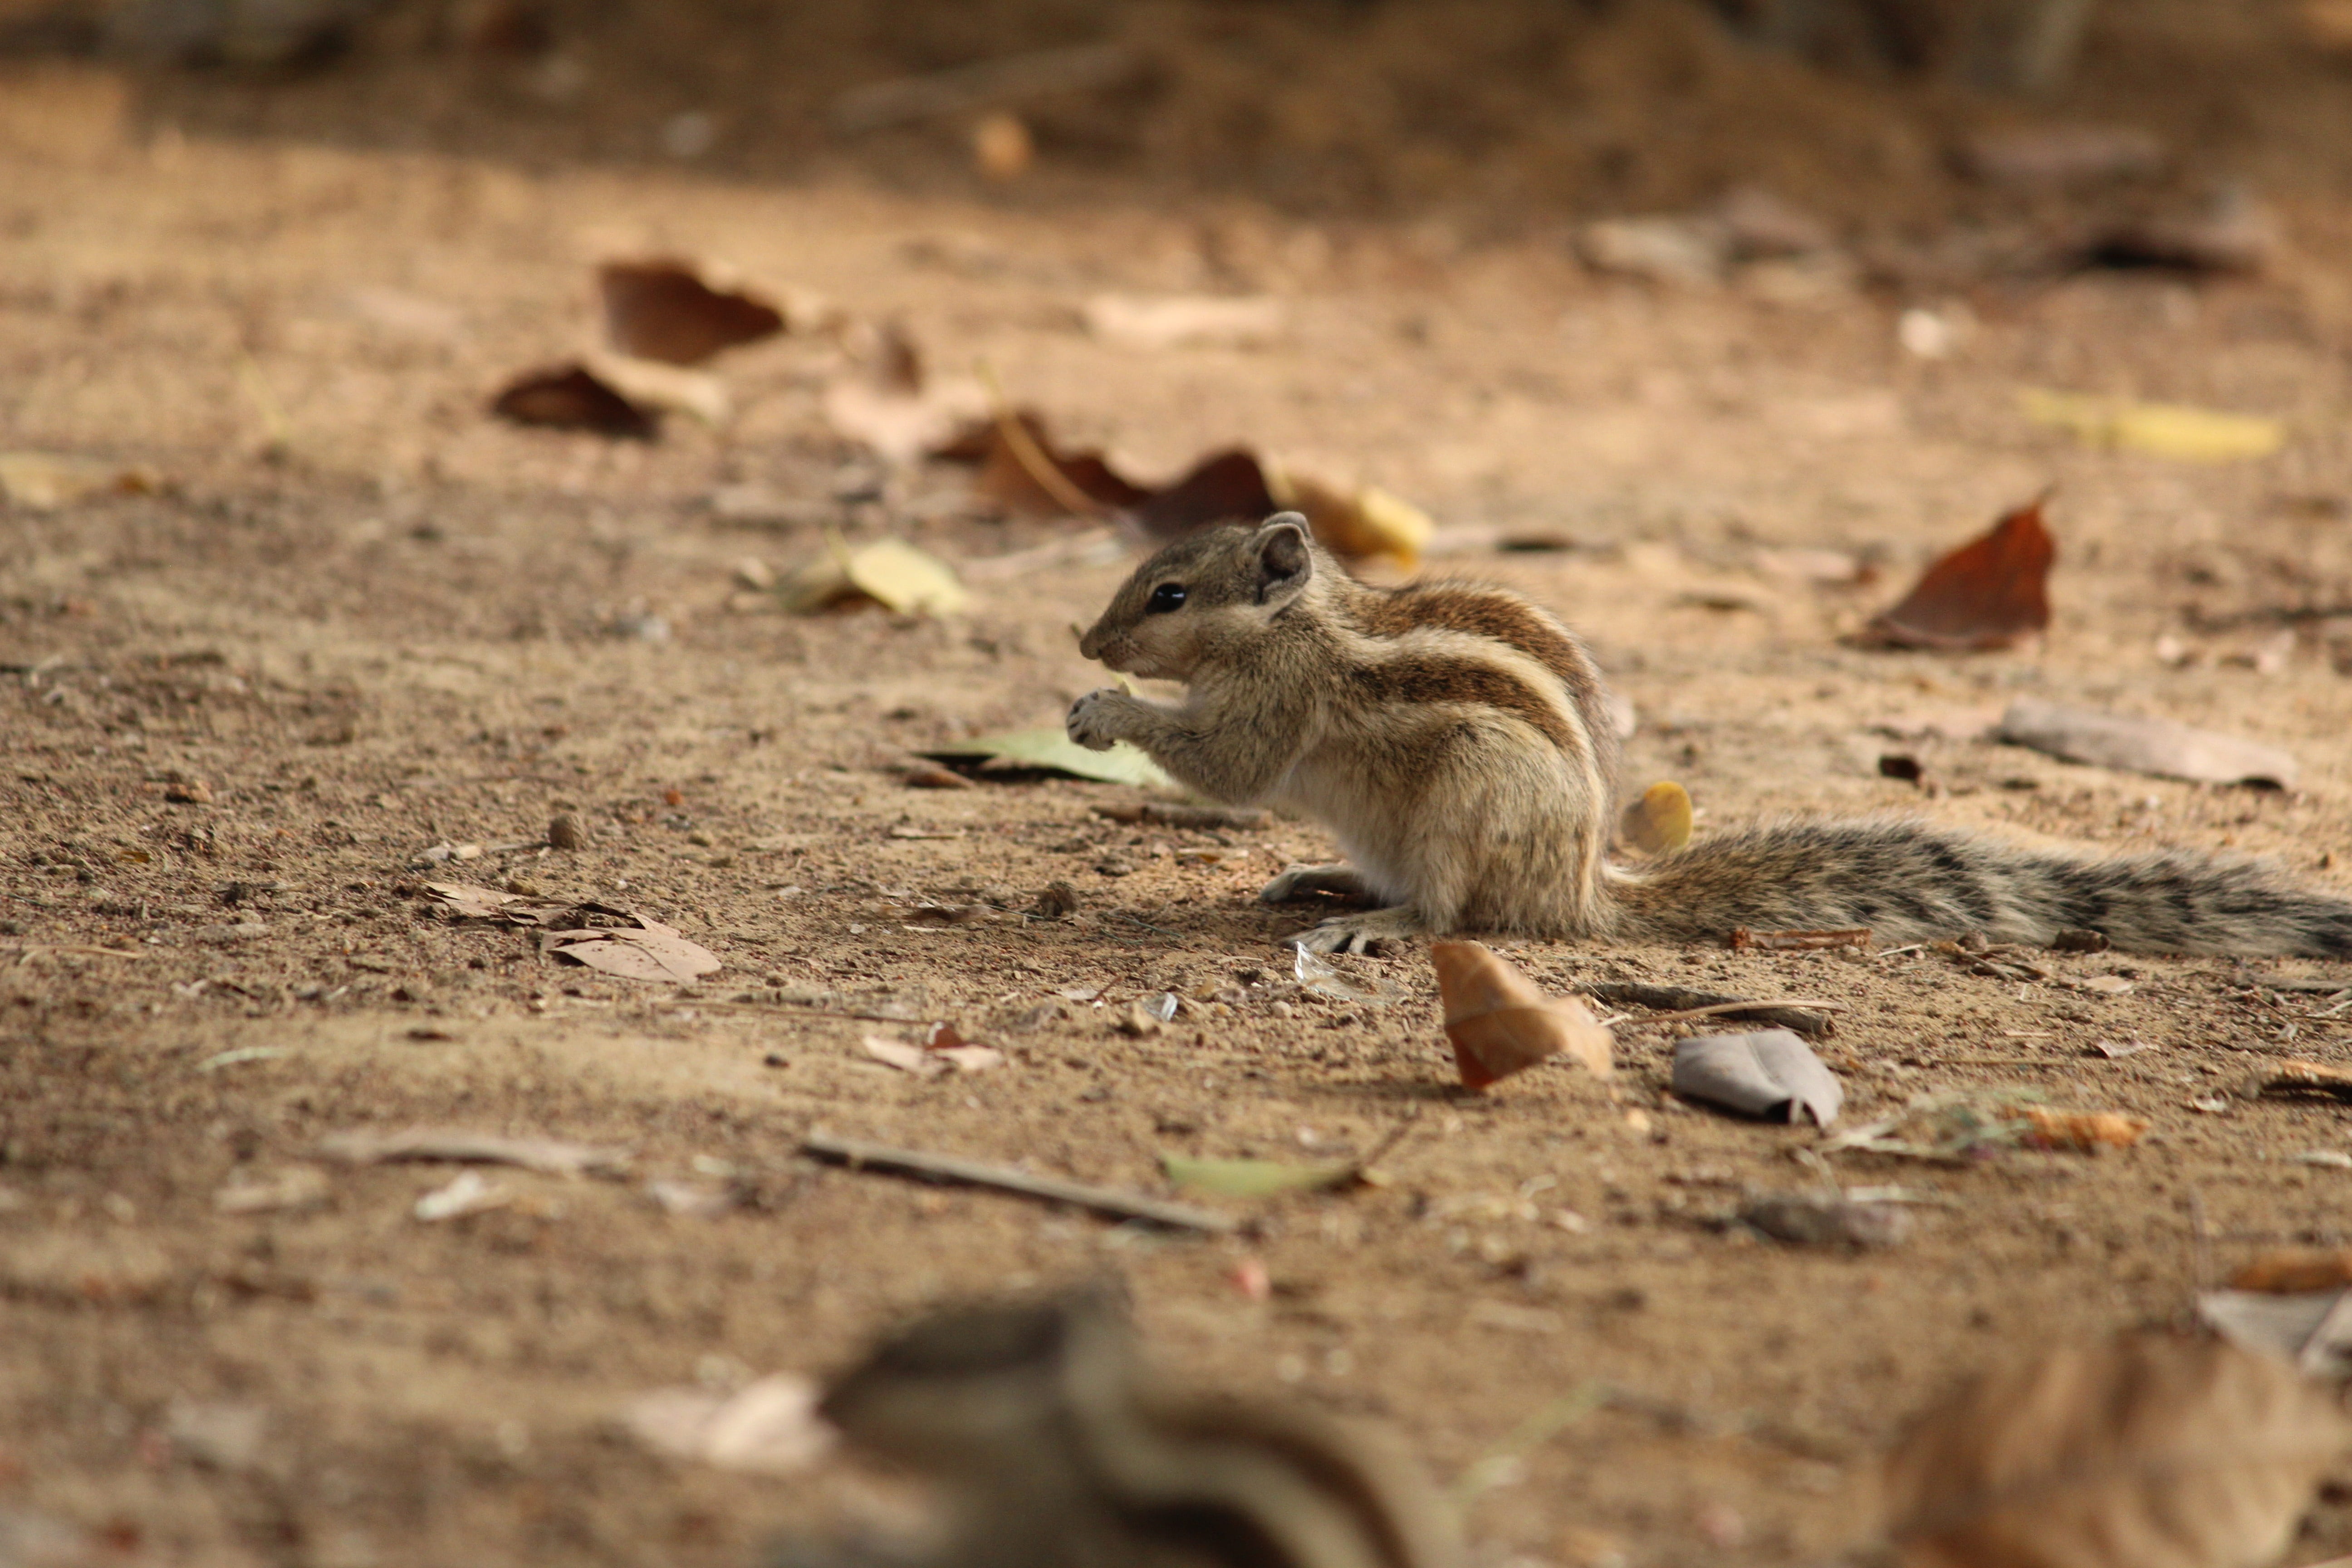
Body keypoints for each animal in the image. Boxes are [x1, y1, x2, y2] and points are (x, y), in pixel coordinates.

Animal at [1066, 512, 2352, 958]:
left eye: (1168, 596)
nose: (1086, 640)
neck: (1300, 620)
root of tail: (1585, 889)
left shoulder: (1278, 701)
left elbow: (1229, 766)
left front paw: (1106, 712)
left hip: (1471, 798)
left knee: (1449, 915)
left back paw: (1375, 925)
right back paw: (1323, 879)